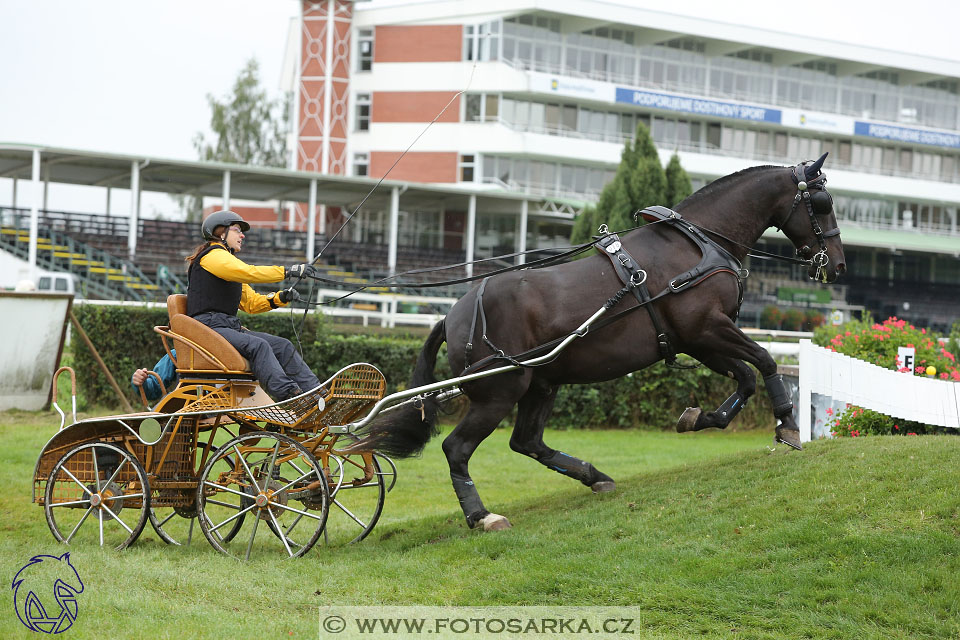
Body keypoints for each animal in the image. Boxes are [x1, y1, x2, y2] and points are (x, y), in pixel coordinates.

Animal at [356, 155, 844, 528]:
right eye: (822, 203)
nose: (837, 265)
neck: (697, 244)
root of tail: (453, 313)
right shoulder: (708, 328)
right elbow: (765, 361)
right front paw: (788, 424)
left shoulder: (699, 339)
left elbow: (744, 379)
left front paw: (698, 418)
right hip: (499, 391)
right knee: (457, 449)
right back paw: (481, 516)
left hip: (541, 383)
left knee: (527, 443)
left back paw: (594, 476)